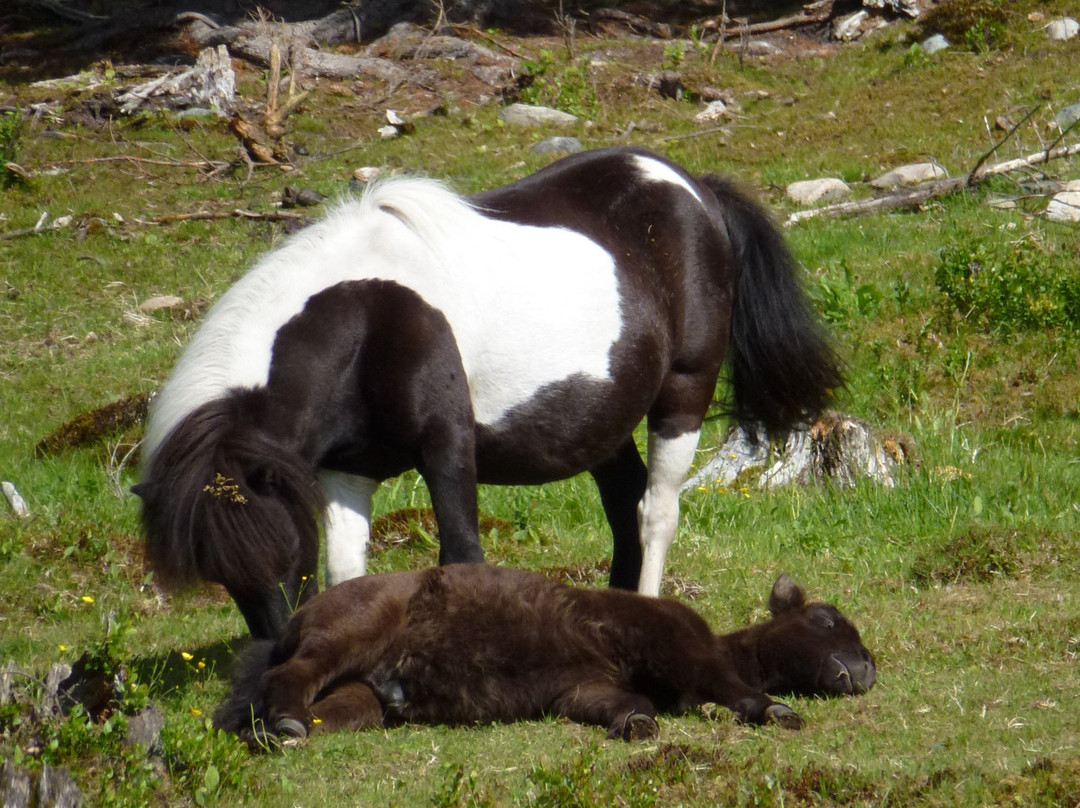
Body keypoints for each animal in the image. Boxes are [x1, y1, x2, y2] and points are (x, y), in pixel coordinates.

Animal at [132, 144, 842, 639]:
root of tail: (694, 189)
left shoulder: (446, 448)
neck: (368, 314)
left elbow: (461, 553)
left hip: (682, 397)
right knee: (624, 504)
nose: (275, 651)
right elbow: (347, 572)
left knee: (655, 512)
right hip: (599, 423)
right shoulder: (343, 472)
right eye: (221, 578)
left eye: (285, 551)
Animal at [214, 561, 872, 743]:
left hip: (360, 698)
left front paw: (635, 727)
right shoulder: (673, 641)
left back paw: (272, 733)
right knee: (291, 675)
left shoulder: (585, 688)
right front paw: (778, 711)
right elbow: (732, 688)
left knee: (314, 708)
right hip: (351, 632)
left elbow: (627, 706)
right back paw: (286, 724)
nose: (865, 668)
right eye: (825, 618)